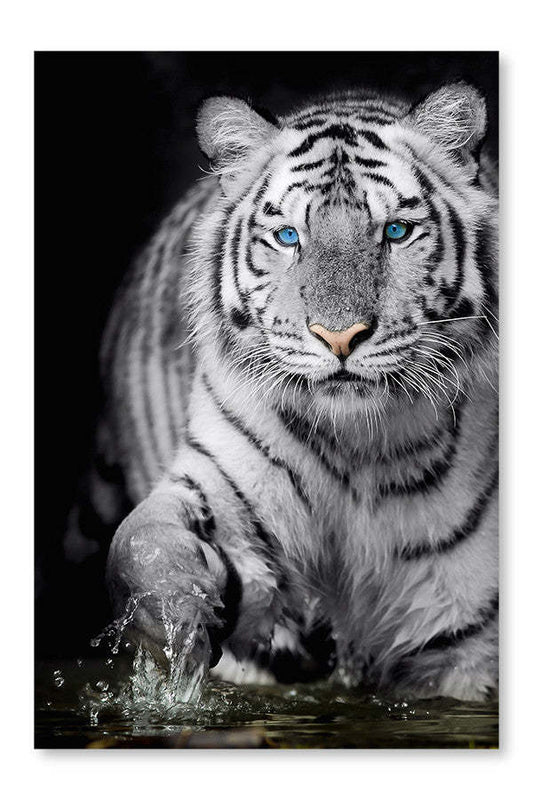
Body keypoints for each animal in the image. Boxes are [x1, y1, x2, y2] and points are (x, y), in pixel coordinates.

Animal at [99, 82, 498, 701]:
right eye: (289, 237)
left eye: (395, 232)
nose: (339, 337)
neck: (359, 448)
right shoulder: (221, 487)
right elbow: (142, 542)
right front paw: (176, 618)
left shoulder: (466, 641)